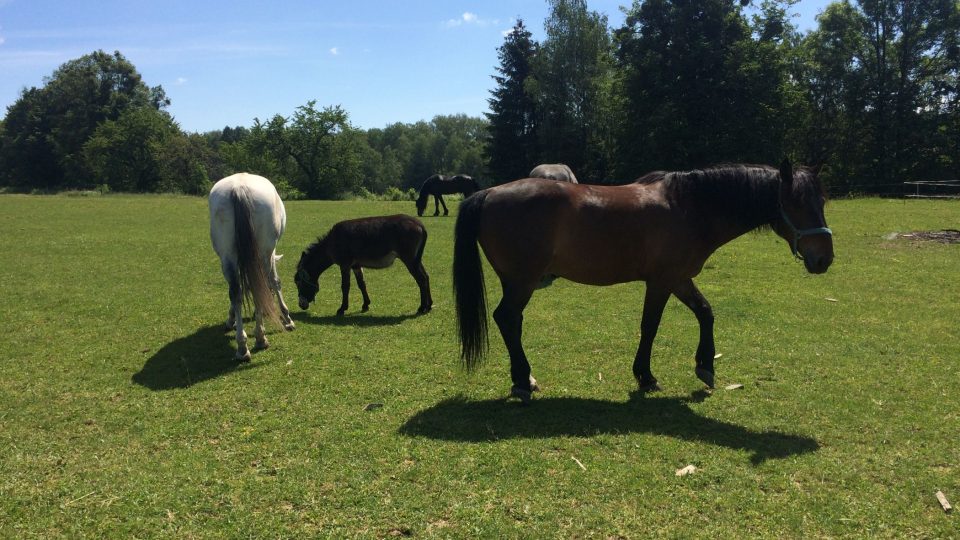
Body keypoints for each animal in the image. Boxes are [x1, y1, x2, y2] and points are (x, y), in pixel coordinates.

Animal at [210, 173, 296, 360]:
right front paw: (287, 318)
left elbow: (242, 289)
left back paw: (242, 347)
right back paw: (260, 338)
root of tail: (239, 187)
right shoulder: (270, 253)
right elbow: (274, 281)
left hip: (227, 256)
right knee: (258, 287)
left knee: (235, 292)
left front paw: (231, 319)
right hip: (263, 253)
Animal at [454, 159, 836, 400]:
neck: (689, 207)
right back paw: (522, 380)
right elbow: (650, 325)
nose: (824, 258)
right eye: (796, 202)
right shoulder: (661, 282)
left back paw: (525, 378)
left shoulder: (680, 279)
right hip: (523, 281)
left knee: (512, 322)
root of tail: (489, 193)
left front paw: (705, 366)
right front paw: (645, 375)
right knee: (507, 318)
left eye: (822, 200)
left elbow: (706, 312)